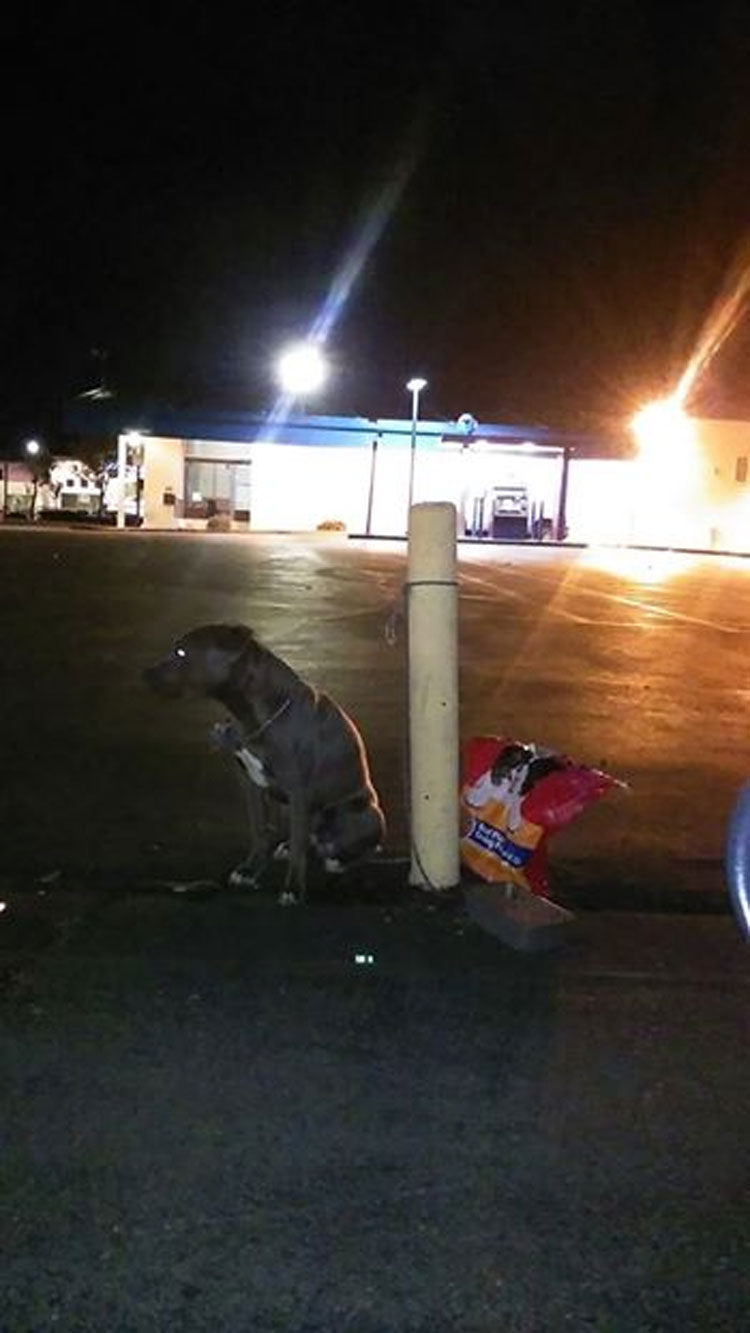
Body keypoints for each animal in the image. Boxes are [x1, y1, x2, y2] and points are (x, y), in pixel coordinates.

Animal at [143, 626, 386, 906]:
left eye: (181, 652)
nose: (145, 674)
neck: (254, 714)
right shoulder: (250, 785)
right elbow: (259, 832)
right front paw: (250, 870)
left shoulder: (298, 792)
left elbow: (298, 850)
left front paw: (293, 888)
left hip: (364, 814)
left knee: (360, 847)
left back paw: (337, 859)